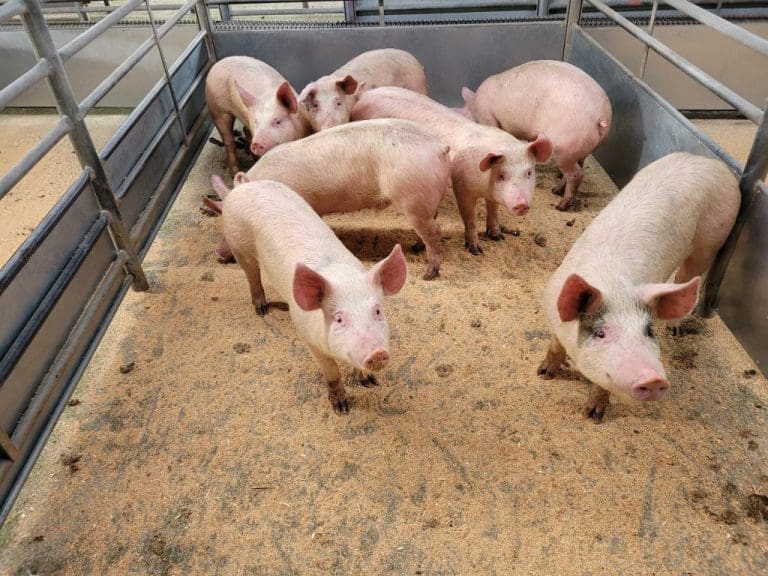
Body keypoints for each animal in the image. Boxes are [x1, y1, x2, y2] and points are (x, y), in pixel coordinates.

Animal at [216, 119, 452, 280]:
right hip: (424, 202)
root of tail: (439, 147)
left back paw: (428, 274)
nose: (218, 255)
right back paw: (416, 247)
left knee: (435, 232)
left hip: (413, 200)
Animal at [222, 179, 407, 413]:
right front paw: (341, 408)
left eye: (377, 311)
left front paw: (369, 382)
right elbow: (331, 371)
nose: (377, 353)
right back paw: (261, 310)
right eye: (339, 319)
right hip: (238, 245)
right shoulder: (308, 337)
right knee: (252, 275)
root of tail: (244, 185)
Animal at [351, 87, 552, 255]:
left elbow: (493, 211)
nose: (522, 204)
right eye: (502, 175)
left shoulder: (491, 195)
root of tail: (365, 95)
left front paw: (498, 237)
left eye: (529, 173)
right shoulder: (461, 185)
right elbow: (469, 217)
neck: (485, 184)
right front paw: (476, 250)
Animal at [461, 60, 612, 211]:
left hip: (564, 147)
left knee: (576, 174)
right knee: (576, 167)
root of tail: (601, 117)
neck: (475, 106)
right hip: (580, 148)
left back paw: (560, 205)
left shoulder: (488, 117)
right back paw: (556, 190)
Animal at [538, 152, 740, 421]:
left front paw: (593, 416)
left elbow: (602, 384)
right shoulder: (553, 315)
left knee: (687, 275)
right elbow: (555, 347)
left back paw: (675, 331)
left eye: (649, 331)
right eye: (601, 333)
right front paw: (543, 373)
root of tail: (708, 159)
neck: (613, 285)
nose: (653, 380)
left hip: (712, 239)